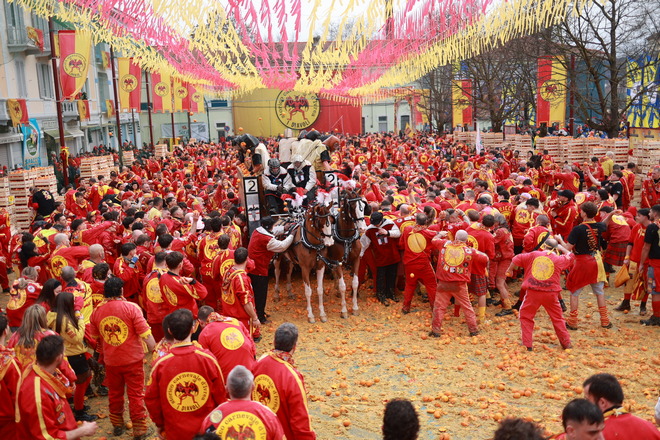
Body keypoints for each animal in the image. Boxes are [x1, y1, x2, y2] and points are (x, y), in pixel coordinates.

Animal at [325, 189, 367, 318]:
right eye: (353, 206)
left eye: (364, 206)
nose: (363, 228)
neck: (347, 238)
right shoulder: (338, 262)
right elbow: (343, 286)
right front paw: (344, 311)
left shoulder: (356, 260)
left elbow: (355, 283)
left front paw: (355, 308)